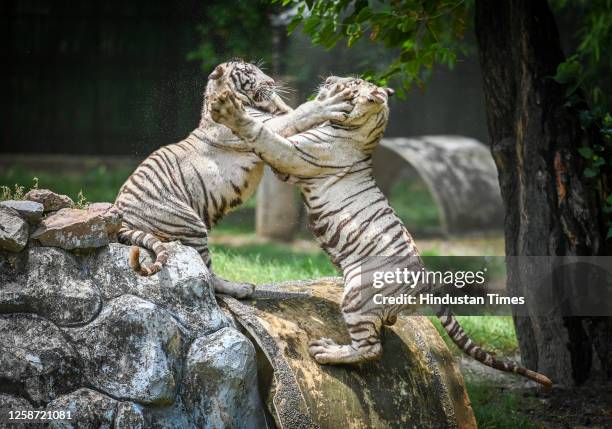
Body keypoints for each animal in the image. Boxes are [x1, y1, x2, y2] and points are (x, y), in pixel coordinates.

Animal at [115, 59, 354, 298]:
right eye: (249, 72)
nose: (271, 81)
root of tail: (122, 221)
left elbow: (293, 112)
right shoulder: (263, 128)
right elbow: (301, 114)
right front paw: (330, 102)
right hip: (190, 224)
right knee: (208, 274)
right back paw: (241, 288)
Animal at [210, 75, 556, 386]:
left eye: (349, 82)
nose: (329, 79)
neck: (360, 130)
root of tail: (425, 281)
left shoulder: (293, 155)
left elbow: (267, 135)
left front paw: (232, 113)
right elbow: (287, 118)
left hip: (357, 295)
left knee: (370, 347)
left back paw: (327, 351)